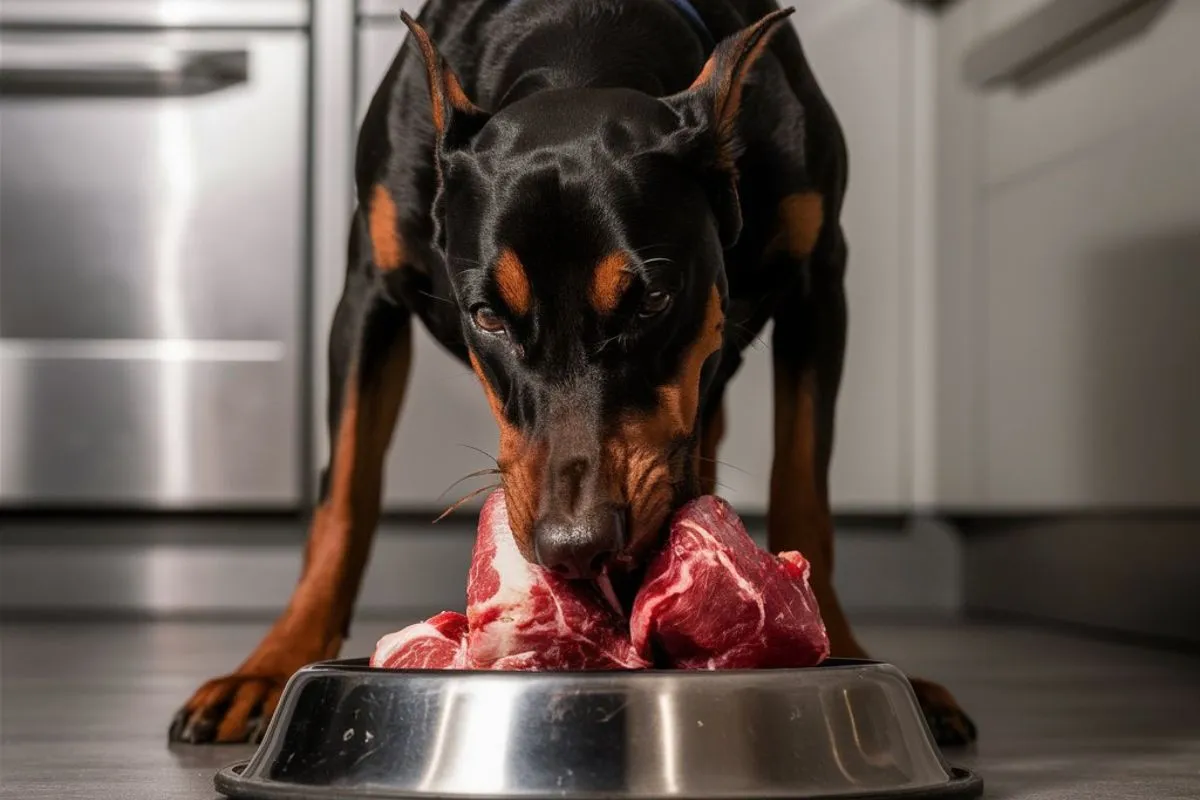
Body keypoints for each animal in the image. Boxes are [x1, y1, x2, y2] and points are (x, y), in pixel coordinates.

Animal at [169, 0, 974, 753]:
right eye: (487, 316)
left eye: (651, 299)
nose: (576, 543)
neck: (582, 32)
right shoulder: (368, 290)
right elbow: (344, 498)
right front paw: (273, 666)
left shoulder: (820, 283)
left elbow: (804, 487)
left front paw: (835, 647)